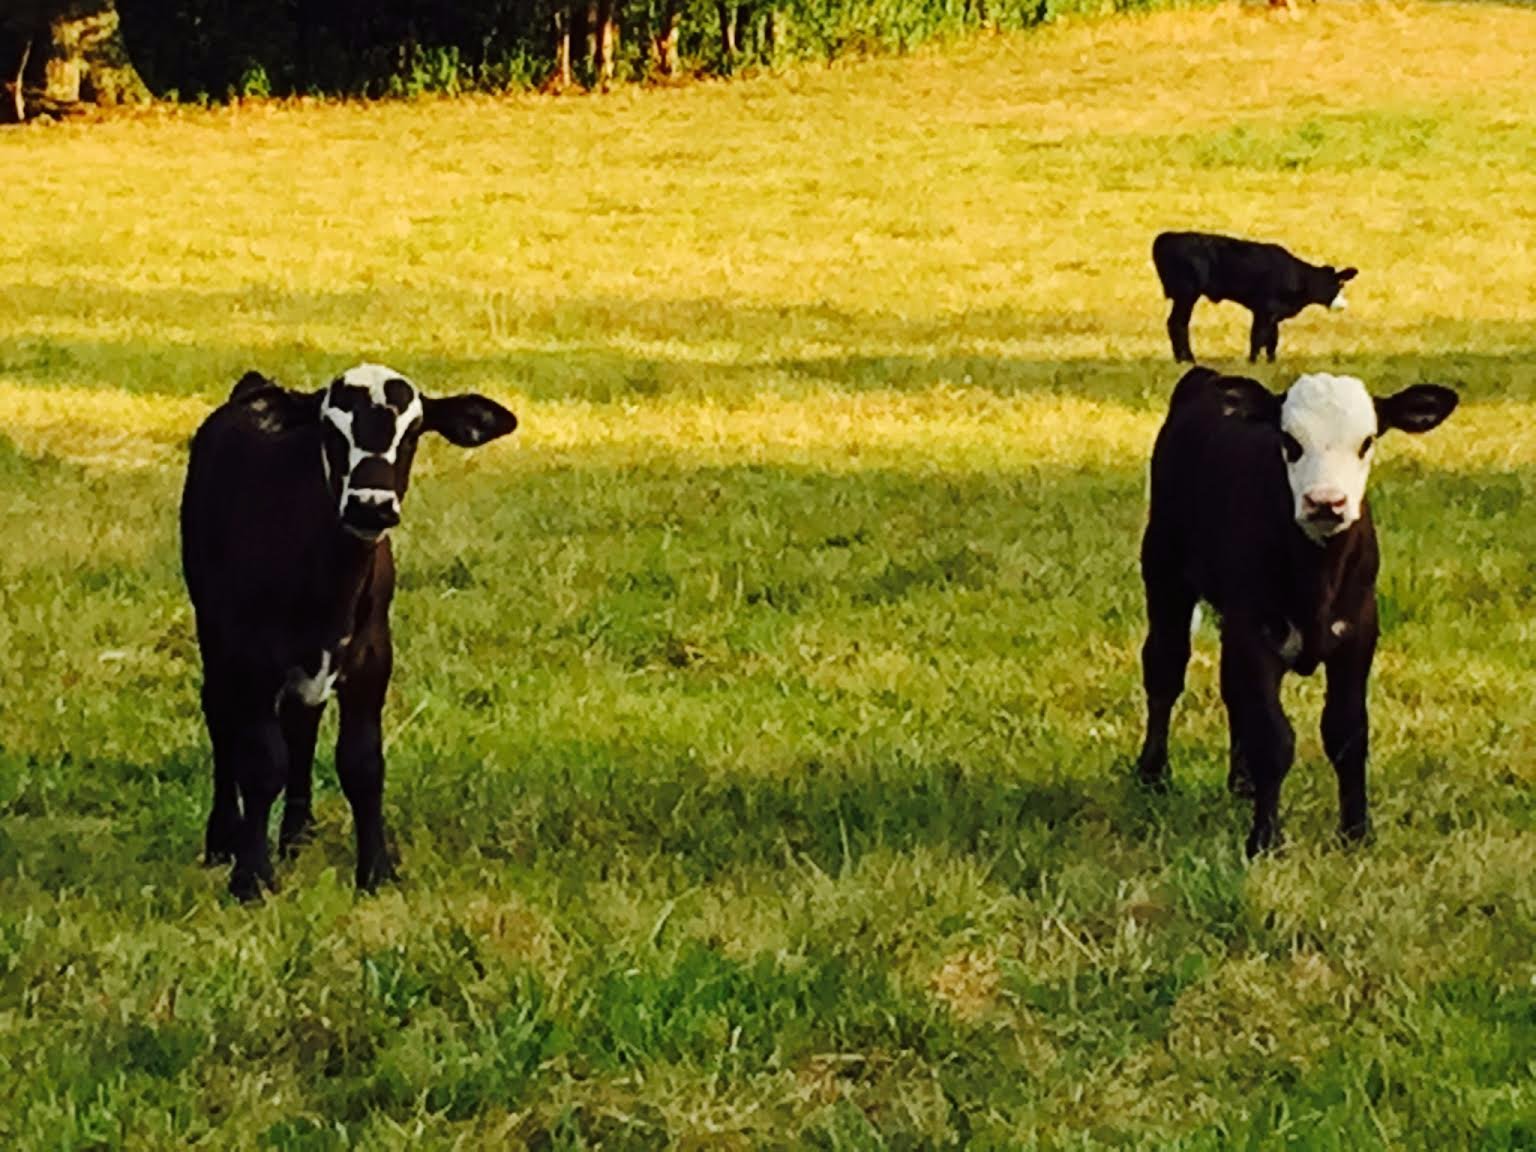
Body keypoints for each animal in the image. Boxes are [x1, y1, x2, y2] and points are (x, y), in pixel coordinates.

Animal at [181, 364, 517, 900]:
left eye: (412, 433)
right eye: (331, 431)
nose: (370, 506)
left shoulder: (372, 656)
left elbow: (361, 764)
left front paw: (375, 871)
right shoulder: (251, 654)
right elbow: (261, 761)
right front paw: (251, 877)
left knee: (301, 722)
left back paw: (297, 834)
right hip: (212, 626)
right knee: (219, 714)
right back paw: (222, 838)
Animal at [1135, 366, 1458, 856]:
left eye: (1367, 441)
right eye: (1289, 442)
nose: (1326, 502)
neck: (1315, 580)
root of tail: (1205, 374)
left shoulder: (1359, 633)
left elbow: (1347, 732)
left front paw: (1356, 833)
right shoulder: (1253, 632)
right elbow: (1273, 737)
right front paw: (1264, 840)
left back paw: (1242, 782)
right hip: (1164, 571)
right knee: (1165, 669)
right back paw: (1153, 773)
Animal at [1152, 231, 1358, 364]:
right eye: (1337, 285)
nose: (1343, 305)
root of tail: (1167, 236)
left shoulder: (1272, 314)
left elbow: (1272, 340)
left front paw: (1271, 362)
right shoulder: (1264, 310)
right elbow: (1258, 337)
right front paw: (1252, 361)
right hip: (1186, 293)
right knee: (1177, 323)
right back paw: (1187, 359)